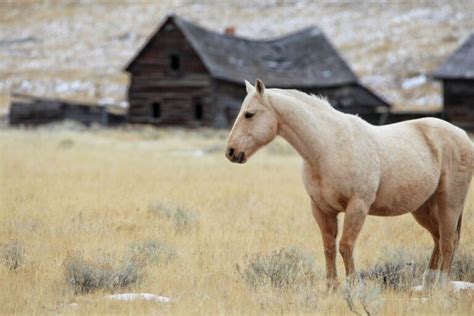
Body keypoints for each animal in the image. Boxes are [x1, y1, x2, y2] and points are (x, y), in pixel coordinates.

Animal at [225, 79, 470, 292]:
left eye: (249, 114)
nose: (231, 152)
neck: (327, 148)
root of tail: (463, 136)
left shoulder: (357, 206)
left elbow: (345, 246)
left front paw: (353, 286)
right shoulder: (321, 209)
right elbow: (329, 247)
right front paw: (331, 287)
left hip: (449, 203)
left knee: (448, 242)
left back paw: (441, 286)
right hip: (423, 208)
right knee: (439, 239)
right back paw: (429, 284)